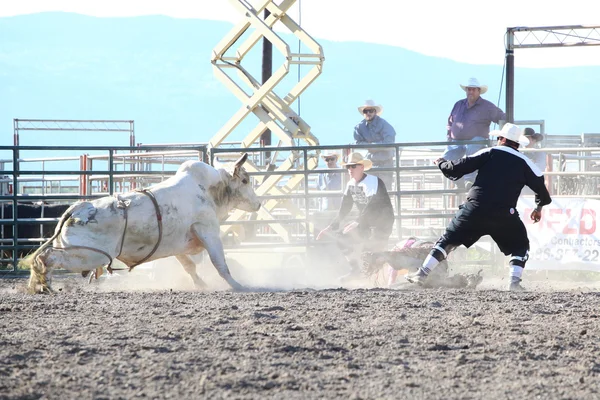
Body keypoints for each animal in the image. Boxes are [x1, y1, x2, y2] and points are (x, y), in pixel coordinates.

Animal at [26, 154, 260, 294]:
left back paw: (37, 285)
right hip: (88, 255)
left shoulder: (178, 243)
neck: (208, 189)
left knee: (43, 257)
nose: (258, 203)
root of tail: (77, 208)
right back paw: (44, 284)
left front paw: (201, 284)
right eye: (245, 181)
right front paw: (238, 285)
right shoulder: (208, 230)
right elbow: (220, 263)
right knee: (47, 257)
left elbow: (189, 266)